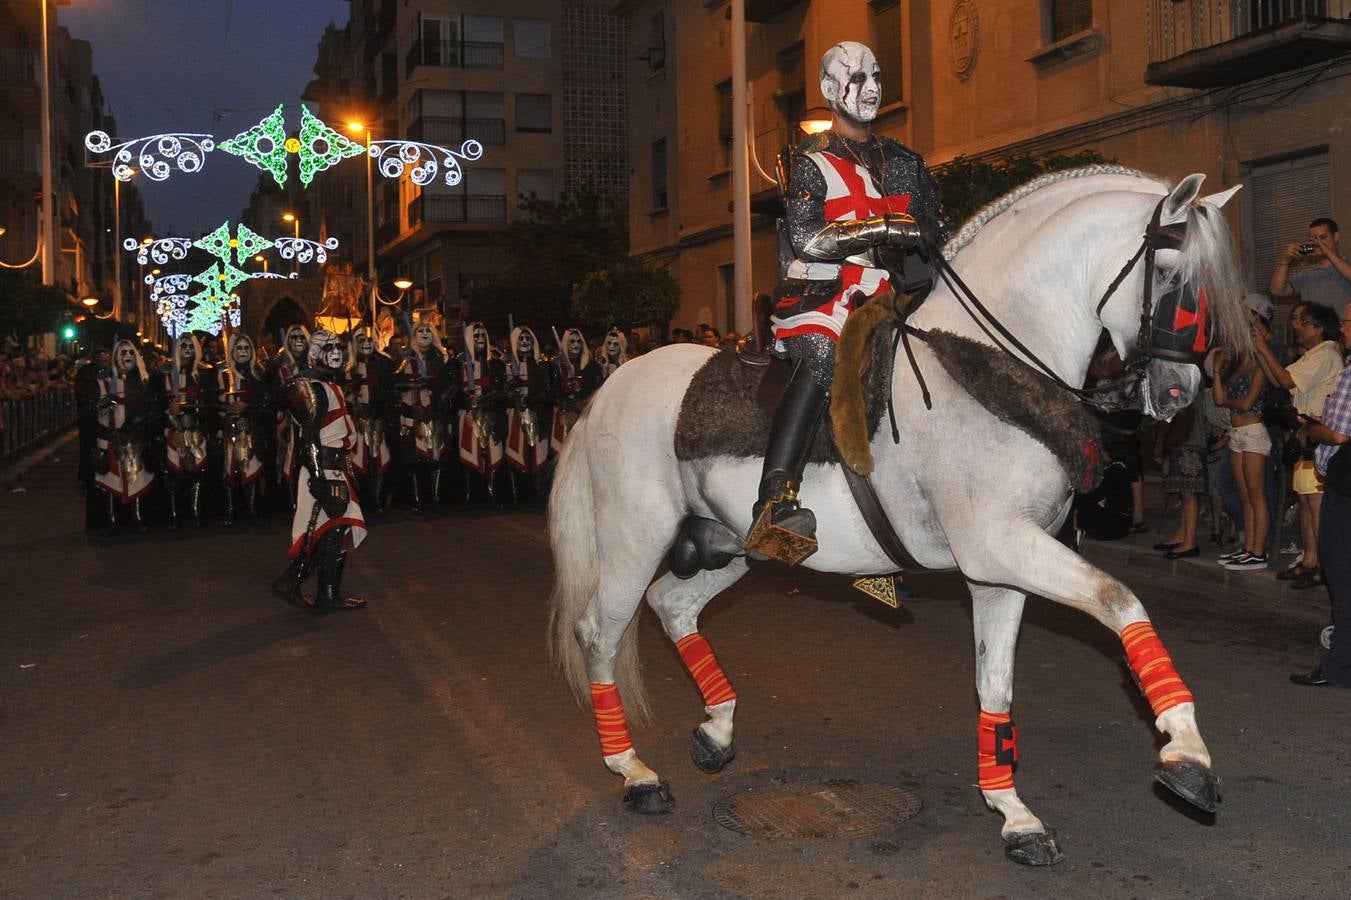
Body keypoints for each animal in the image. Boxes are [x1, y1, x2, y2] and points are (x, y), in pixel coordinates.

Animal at [545, 168, 1242, 864]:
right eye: (1174, 277)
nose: (1177, 394)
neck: (982, 367)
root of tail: (608, 388)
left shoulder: (1001, 567)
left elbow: (995, 683)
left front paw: (1013, 814)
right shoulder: (1000, 544)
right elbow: (1119, 600)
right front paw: (1187, 755)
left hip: (735, 545)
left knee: (672, 604)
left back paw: (715, 731)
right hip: (635, 535)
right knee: (599, 634)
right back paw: (635, 774)